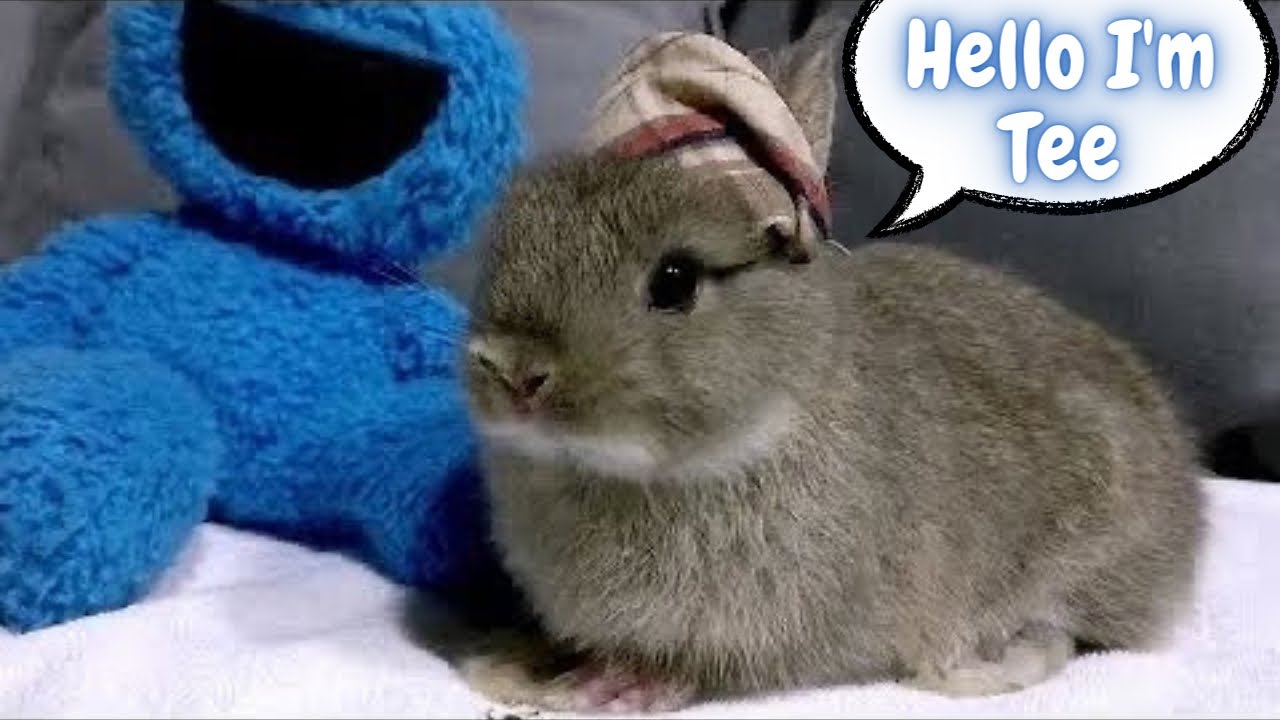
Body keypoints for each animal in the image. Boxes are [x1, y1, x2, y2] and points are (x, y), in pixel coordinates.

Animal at [456, 18, 1205, 716]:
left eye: (674, 281)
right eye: (510, 238)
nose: (514, 372)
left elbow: (700, 669)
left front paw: (612, 687)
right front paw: (514, 658)